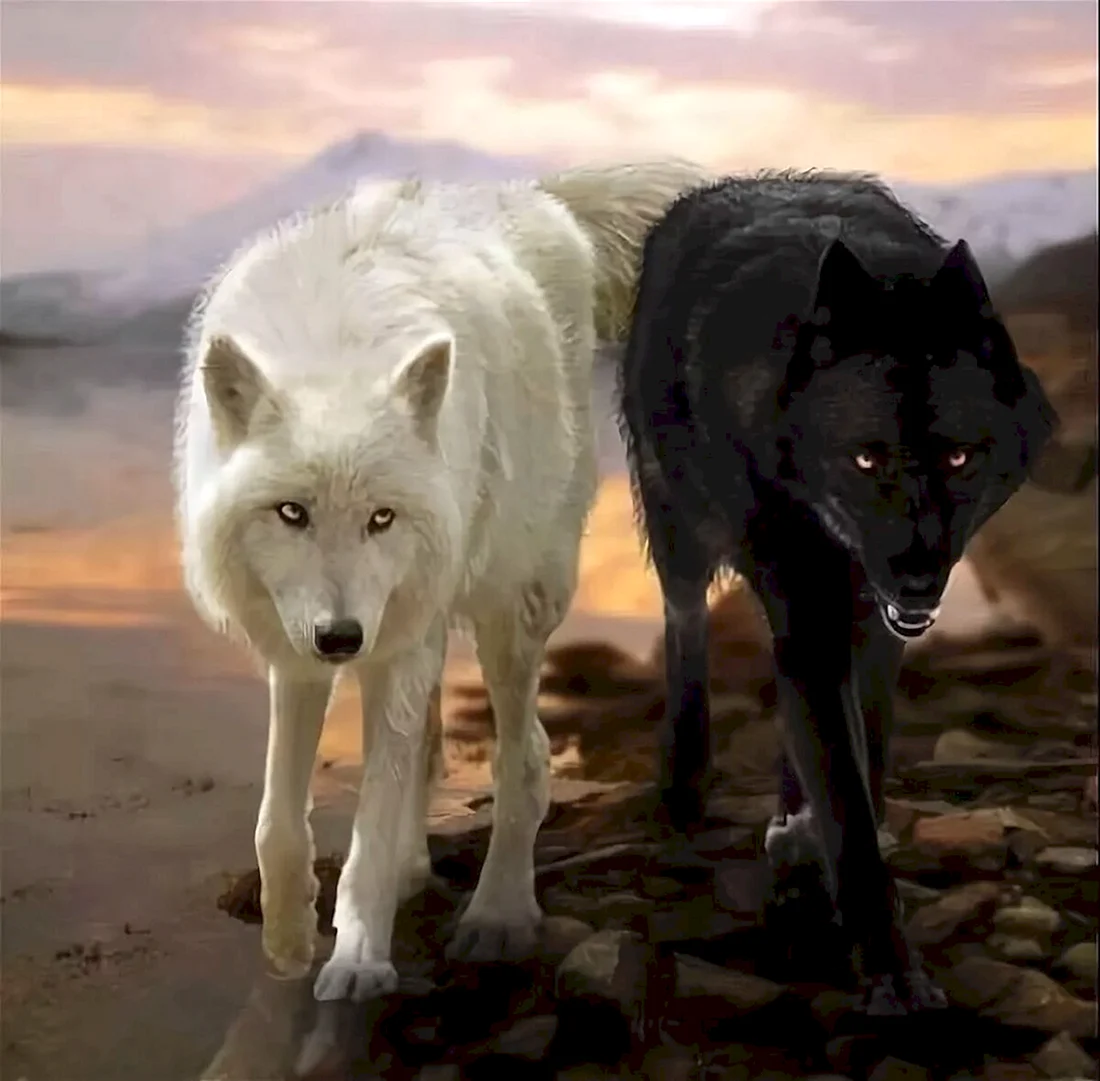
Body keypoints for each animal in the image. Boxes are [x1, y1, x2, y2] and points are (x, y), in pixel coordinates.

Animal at [174, 159, 706, 1003]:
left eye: (382, 517)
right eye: (291, 512)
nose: (341, 637)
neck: (337, 350)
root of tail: (538, 197)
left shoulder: (394, 642)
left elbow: (369, 826)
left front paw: (359, 959)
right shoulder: (297, 650)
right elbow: (277, 822)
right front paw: (289, 940)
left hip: (506, 610)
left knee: (524, 757)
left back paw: (499, 913)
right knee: (424, 749)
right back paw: (414, 873)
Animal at [617, 171, 1055, 1014]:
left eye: (959, 457)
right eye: (864, 458)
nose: (916, 574)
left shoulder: (872, 624)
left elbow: (862, 756)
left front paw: (813, 862)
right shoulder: (811, 606)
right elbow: (846, 805)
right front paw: (891, 970)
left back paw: (790, 829)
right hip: (679, 526)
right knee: (686, 622)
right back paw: (685, 779)